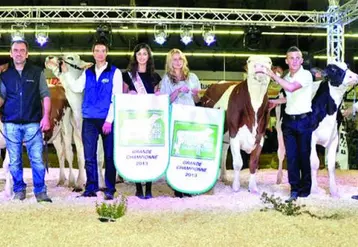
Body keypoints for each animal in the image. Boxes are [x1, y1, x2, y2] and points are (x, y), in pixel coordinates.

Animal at [201, 56, 272, 193]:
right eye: (249, 61)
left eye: (269, 62)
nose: (260, 66)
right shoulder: (234, 134)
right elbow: (238, 163)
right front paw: (236, 186)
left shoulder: (260, 136)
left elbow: (253, 163)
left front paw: (253, 187)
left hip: (225, 137)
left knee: (223, 153)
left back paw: (223, 176)